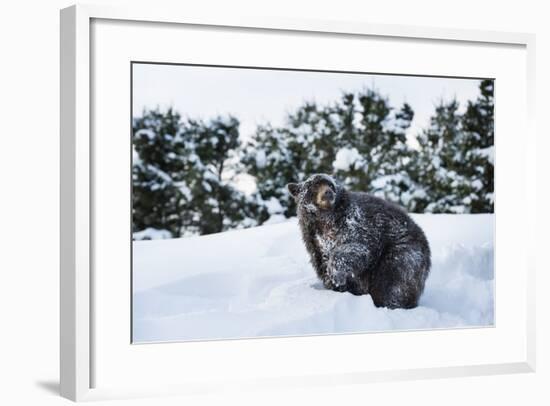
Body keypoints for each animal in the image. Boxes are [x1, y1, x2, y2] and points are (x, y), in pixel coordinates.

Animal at [286, 173, 434, 310]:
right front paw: (335, 286)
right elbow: (323, 263)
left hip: (401, 251)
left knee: (393, 282)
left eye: (331, 185)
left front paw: (336, 273)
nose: (328, 192)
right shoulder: (313, 239)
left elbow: (357, 249)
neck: (325, 219)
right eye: (314, 186)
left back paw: (391, 304)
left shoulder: (356, 225)